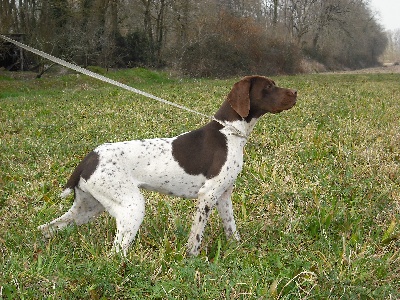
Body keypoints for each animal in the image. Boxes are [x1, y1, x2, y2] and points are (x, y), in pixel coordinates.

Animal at [38, 75, 296, 255]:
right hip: (131, 207)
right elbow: (196, 237)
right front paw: (192, 260)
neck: (229, 132)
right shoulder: (207, 195)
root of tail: (90, 158)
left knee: (49, 228)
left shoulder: (224, 195)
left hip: (88, 207)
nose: (295, 92)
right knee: (115, 252)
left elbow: (231, 229)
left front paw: (237, 249)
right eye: (269, 87)